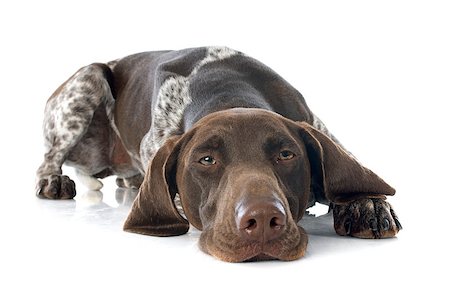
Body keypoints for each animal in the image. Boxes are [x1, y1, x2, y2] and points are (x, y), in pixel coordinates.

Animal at [36, 46, 400, 262]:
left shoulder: (316, 127)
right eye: (206, 160)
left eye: (286, 155)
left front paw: (366, 205)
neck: (229, 92)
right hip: (86, 81)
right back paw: (53, 181)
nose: (263, 221)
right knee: (50, 157)